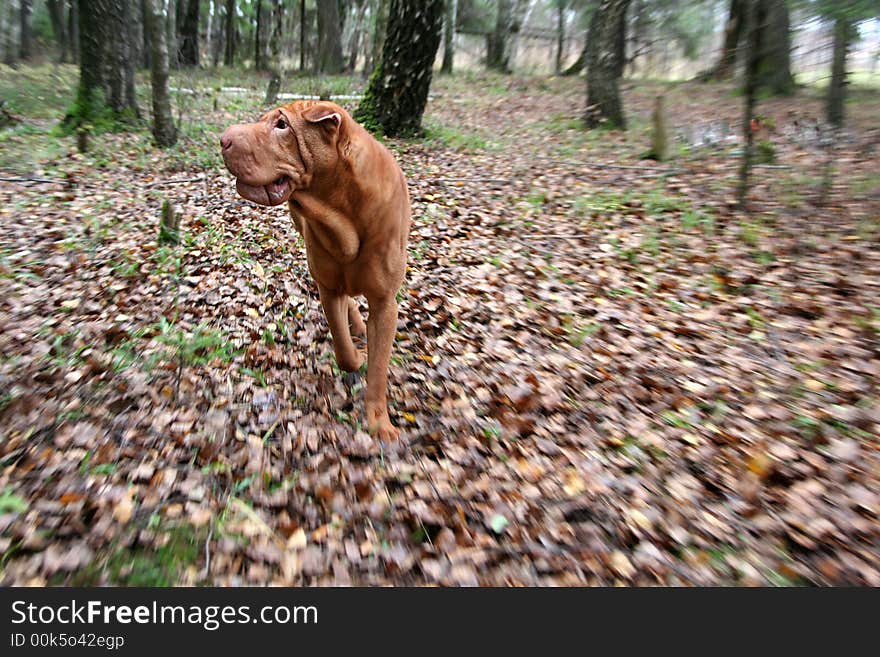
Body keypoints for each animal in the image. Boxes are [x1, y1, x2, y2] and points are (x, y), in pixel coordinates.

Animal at [220, 101, 412, 440]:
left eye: (282, 125)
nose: (223, 140)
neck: (344, 211)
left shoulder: (385, 303)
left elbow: (378, 369)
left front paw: (380, 423)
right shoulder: (328, 287)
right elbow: (344, 351)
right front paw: (356, 356)